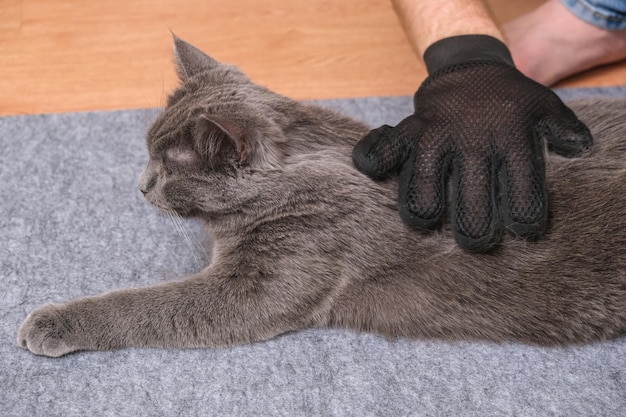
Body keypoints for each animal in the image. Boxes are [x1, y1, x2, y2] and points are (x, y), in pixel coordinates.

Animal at [17, 38, 624, 354]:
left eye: (167, 168)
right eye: (147, 154)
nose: (140, 184)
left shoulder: (276, 271)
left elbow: (148, 305)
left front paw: (52, 323)